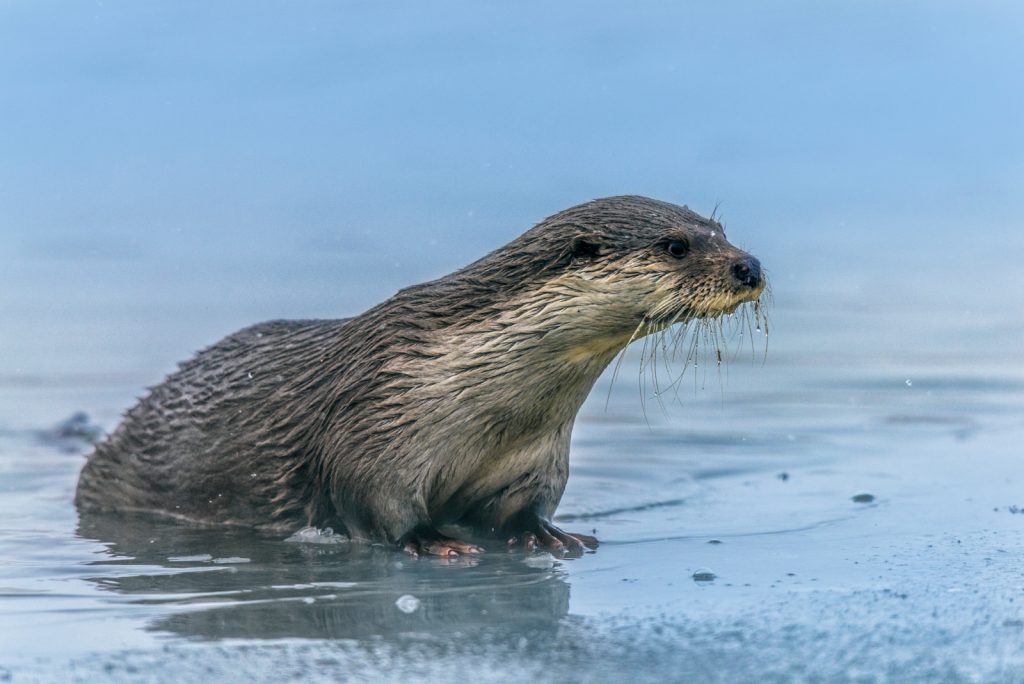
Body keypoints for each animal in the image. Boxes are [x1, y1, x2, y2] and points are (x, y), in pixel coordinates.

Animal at [75, 196, 765, 557]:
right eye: (676, 246)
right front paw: (435, 542)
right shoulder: (374, 424)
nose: (749, 267)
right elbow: (377, 506)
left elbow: (524, 508)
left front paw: (553, 535)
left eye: (723, 230)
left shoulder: (537, 457)